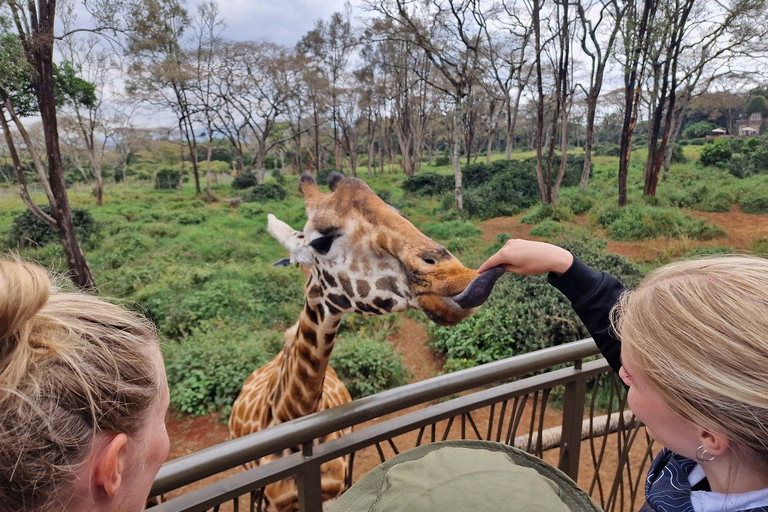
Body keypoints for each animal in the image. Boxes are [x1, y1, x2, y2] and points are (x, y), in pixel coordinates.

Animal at [228, 173, 504, 512]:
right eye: (321, 241)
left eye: (400, 214)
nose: (459, 275)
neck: (293, 412)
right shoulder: (273, 503)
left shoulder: (334, 490)